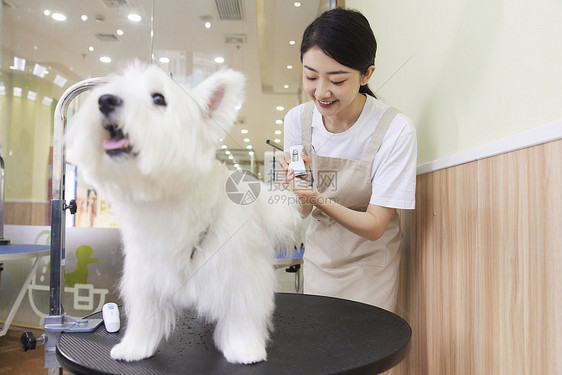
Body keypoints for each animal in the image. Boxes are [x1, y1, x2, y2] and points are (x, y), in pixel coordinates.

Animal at [65, 63, 300, 366]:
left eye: (158, 98)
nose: (105, 100)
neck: (169, 200)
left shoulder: (242, 275)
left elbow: (242, 316)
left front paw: (244, 349)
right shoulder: (146, 276)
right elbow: (144, 318)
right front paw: (134, 347)